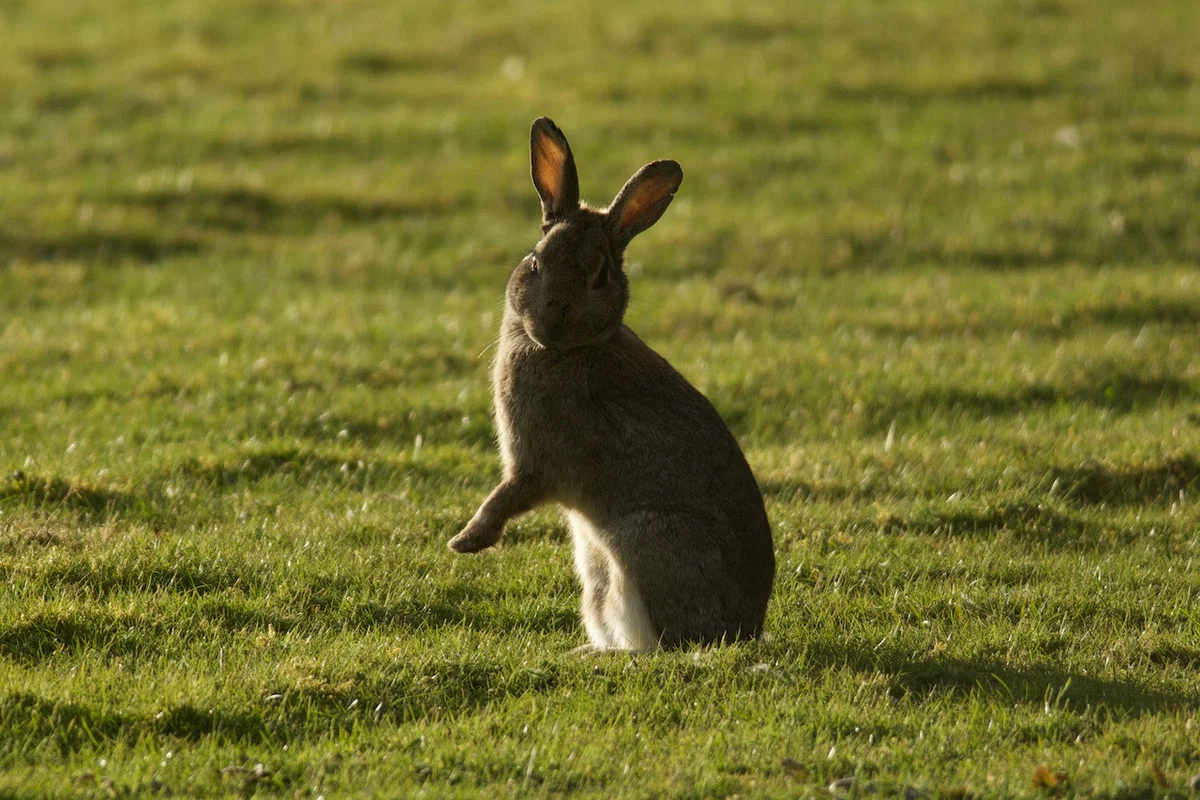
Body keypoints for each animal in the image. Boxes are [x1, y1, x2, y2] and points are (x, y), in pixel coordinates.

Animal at [451, 117, 777, 652]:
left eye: (601, 276)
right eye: (536, 261)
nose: (551, 325)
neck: (573, 349)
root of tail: (743, 630)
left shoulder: (536, 462)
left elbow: (508, 494)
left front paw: (465, 542)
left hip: (644, 547)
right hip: (599, 576)